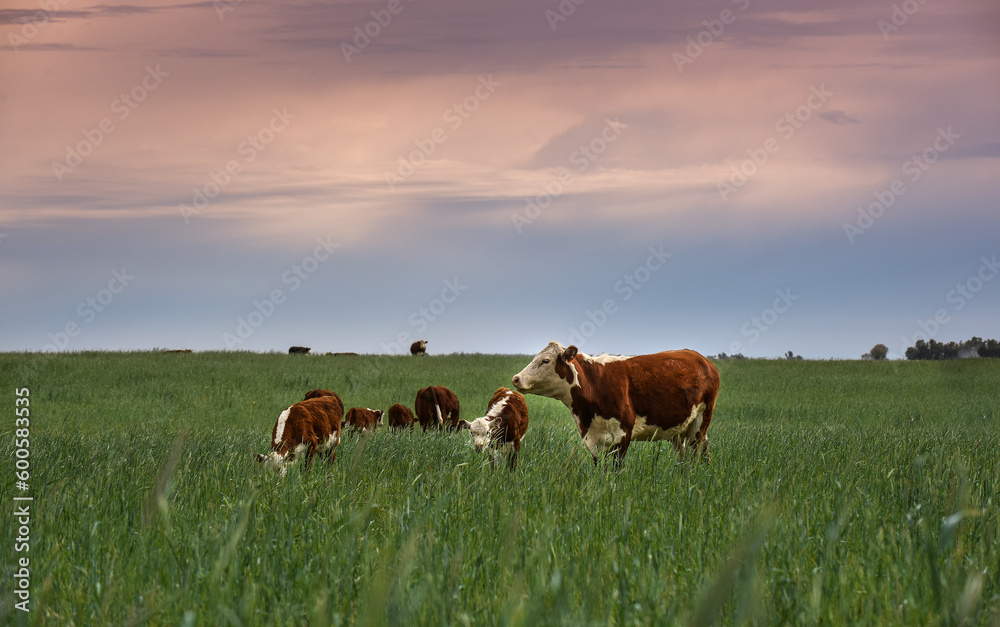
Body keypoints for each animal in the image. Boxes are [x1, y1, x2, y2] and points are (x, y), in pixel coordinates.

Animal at [516, 344, 720, 466]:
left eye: (545, 361)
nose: (516, 378)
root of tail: (703, 359)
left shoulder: (622, 435)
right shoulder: (593, 439)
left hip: (700, 422)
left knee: (693, 456)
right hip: (678, 430)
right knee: (684, 458)